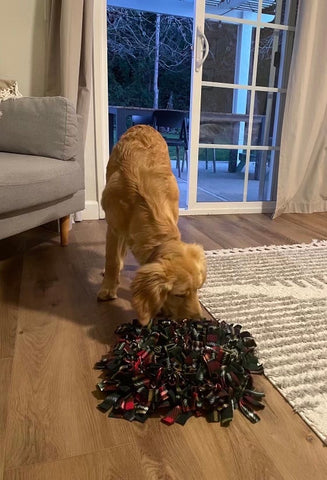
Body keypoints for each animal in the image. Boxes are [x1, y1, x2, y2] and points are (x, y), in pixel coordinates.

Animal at [96, 124, 208, 326]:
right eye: (180, 295)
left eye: (198, 289)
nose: (199, 321)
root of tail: (143, 125)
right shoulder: (114, 229)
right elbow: (112, 260)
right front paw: (108, 289)